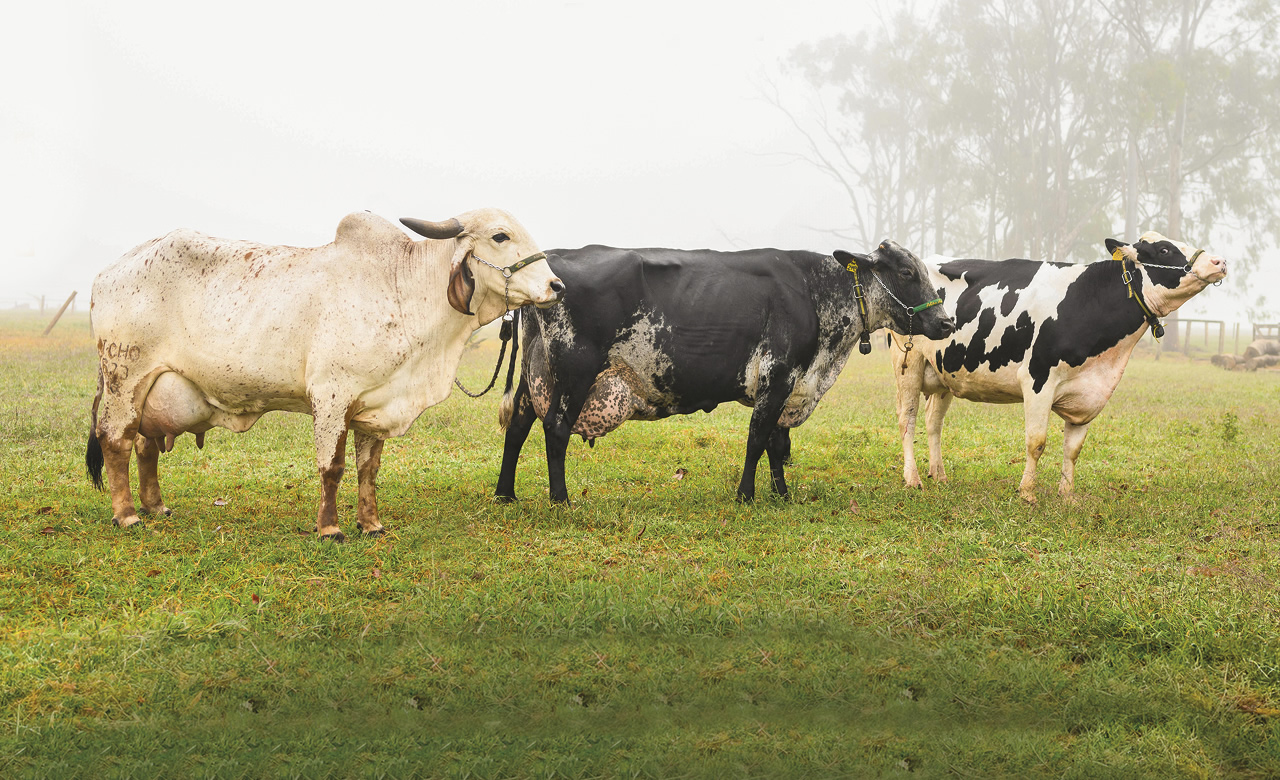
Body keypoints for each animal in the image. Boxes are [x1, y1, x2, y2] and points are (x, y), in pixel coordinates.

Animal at [86, 208, 564, 541]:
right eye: (500, 235)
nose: (556, 286)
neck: (403, 288)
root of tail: (109, 270)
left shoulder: (374, 405)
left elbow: (368, 471)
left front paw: (371, 524)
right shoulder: (331, 397)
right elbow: (331, 467)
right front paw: (329, 528)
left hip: (151, 388)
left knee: (145, 446)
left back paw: (155, 506)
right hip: (124, 377)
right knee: (116, 440)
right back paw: (127, 515)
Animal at [493, 240, 956, 504]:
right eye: (907, 272)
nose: (947, 323)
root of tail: (553, 264)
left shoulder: (788, 386)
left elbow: (774, 444)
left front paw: (781, 495)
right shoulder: (778, 377)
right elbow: (757, 439)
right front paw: (746, 496)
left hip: (535, 380)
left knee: (517, 429)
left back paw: (505, 494)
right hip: (574, 373)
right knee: (555, 431)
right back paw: (560, 499)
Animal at [891, 231, 1227, 503]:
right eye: (1164, 250)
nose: (1219, 261)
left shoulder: (1089, 393)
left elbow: (1073, 449)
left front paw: (1067, 495)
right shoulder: (1038, 379)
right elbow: (1036, 442)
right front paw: (1027, 493)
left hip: (944, 370)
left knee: (933, 422)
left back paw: (939, 474)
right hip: (907, 363)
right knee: (907, 420)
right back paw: (913, 478)